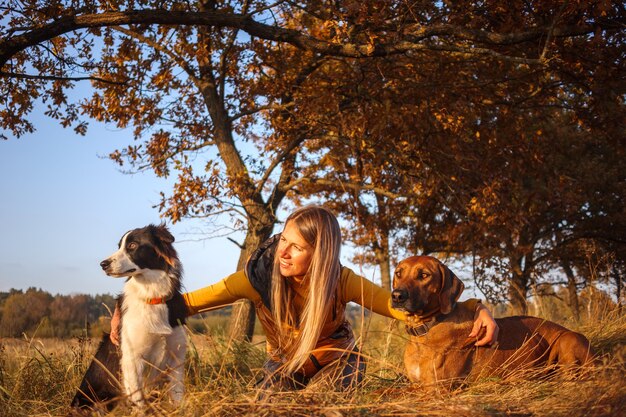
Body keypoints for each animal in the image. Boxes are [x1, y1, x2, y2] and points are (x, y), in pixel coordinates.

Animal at [71, 224, 185, 410]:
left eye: (132, 245)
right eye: (119, 246)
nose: (103, 264)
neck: (153, 296)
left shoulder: (176, 359)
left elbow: (178, 396)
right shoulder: (132, 360)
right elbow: (139, 401)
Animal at [392, 255, 592, 386]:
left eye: (424, 275)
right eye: (399, 273)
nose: (397, 295)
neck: (425, 328)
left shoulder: (436, 388)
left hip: (568, 339)